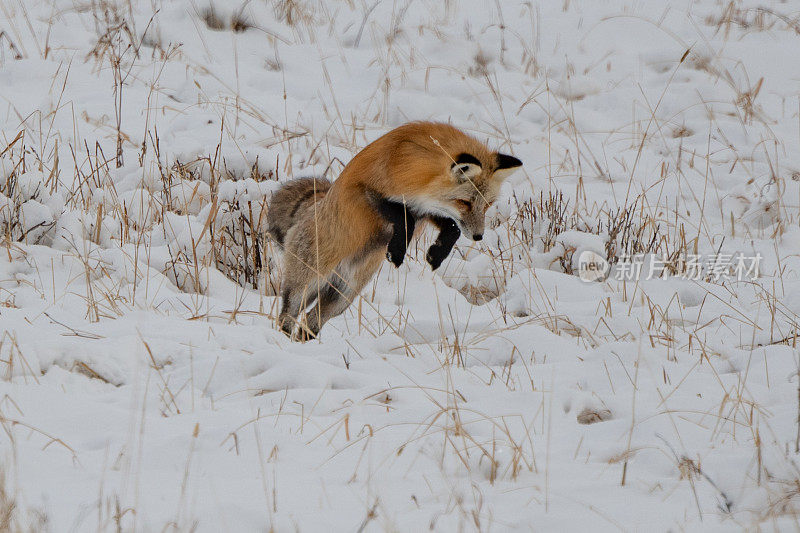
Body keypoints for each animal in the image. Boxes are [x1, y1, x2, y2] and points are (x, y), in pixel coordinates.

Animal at [266, 121, 520, 338]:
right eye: (465, 202)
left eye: (487, 205)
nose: (478, 236)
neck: (408, 163)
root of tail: (312, 206)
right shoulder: (365, 191)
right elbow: (403, 218)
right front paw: (397, 252)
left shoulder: (425, 207)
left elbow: (452, 228)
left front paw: (436, 254)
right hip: (305, 284)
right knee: (288, 314)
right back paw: (285, 340)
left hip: (341, 297)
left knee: (311, 322)